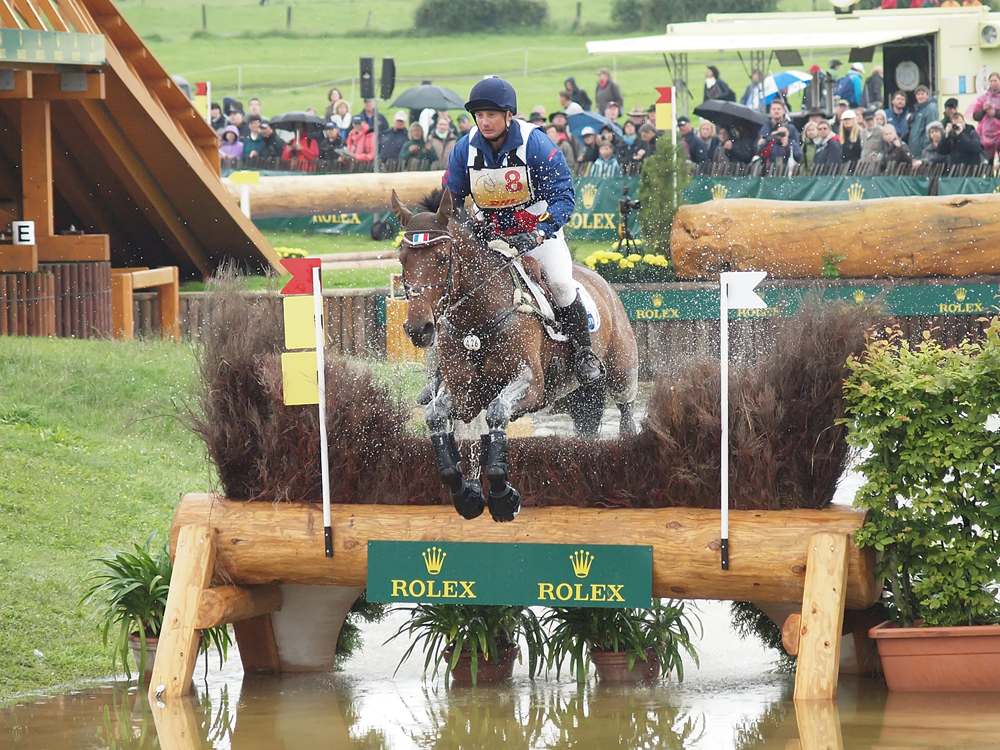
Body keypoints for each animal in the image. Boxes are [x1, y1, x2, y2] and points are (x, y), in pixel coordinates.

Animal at [390, 191, 640, 524]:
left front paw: (502, 498)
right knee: (586, 424)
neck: (477, 321)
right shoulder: (463, 393)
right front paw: (465, 495)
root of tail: (600, 279)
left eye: (443, 258)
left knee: (626, 411)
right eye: (403, 260)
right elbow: (435, 417)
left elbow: (497, 413)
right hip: (578, 396)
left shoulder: (530, 385)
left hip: (621, 370)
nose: (419, 328)